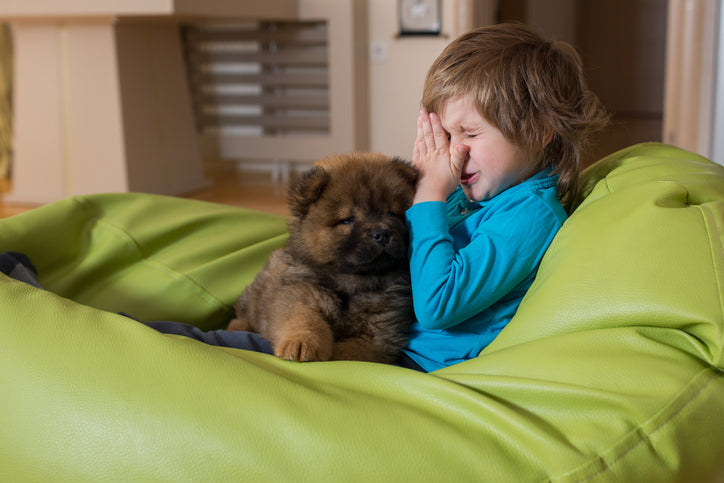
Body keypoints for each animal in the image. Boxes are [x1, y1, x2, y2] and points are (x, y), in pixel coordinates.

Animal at [229, 152, 416, 364]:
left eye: (392, 213)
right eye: (347, 220)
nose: (382, 234)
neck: (350, 284)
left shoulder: (378, 333)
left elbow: (344, 355)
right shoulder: (299, 296)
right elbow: (303, 320)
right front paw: (301, 344)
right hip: (254, 299)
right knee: (241, 316)